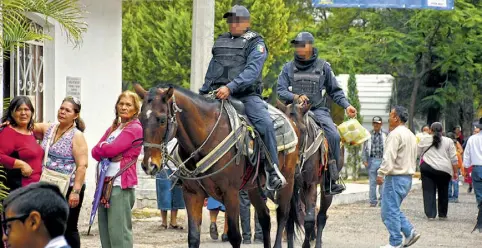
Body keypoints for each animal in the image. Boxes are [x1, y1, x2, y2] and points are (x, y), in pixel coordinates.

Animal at [134, 84, 302, 248]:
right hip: (254, 187)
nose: (149, 165)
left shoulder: (230, 193)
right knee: (265, 217)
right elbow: (193, 237)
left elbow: (235, 237)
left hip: (287, 181)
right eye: (140, 119)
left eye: (162, 120)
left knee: (283, 215)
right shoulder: (192, 194)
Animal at [276, 101, 340, 248]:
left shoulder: (310, 185)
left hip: (325, 189)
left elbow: (309, 219)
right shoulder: (292, 187)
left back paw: (317, 242)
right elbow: (289, 219)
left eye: (303, 130)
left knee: (321, 215)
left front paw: (306, 244)